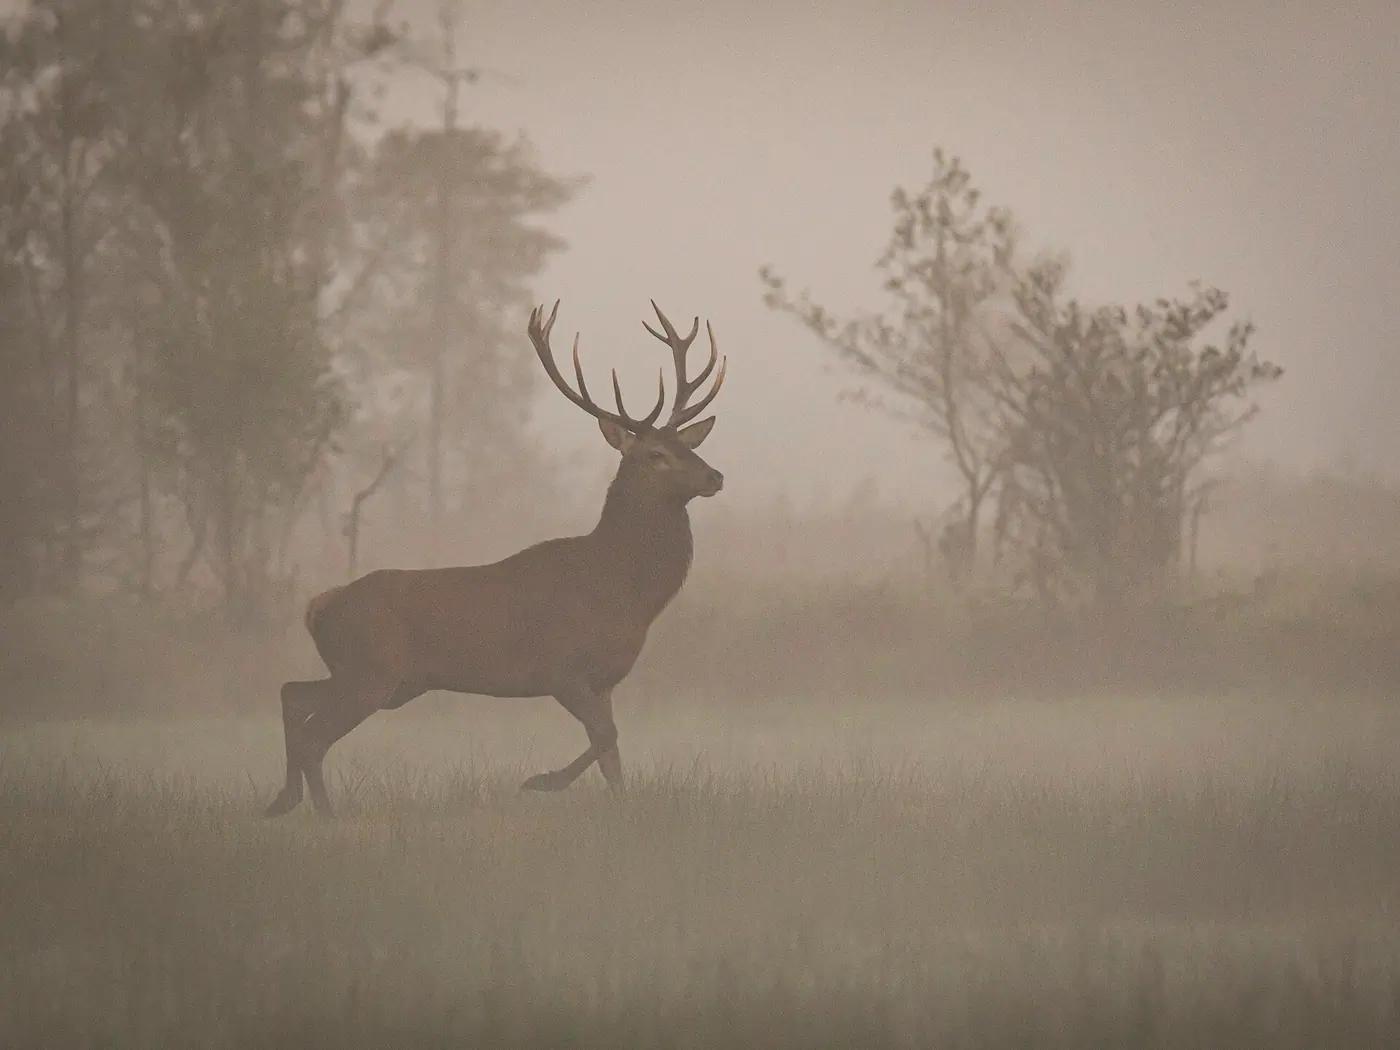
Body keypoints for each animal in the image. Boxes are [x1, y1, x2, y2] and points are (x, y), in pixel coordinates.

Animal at [264, 301, 726, 817]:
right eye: (655, 453)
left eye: (691, 445)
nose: (715, 476)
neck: (625, 592)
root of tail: (319, 605)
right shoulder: (561, 668)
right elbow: (607, 737)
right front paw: (540, 781)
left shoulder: (604, 681)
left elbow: (612, 758)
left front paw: (619, 807)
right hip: (371, 672)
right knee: (314, 735)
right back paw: (324, 815)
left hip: (375, 677)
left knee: (292, 694)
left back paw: (283, 799)